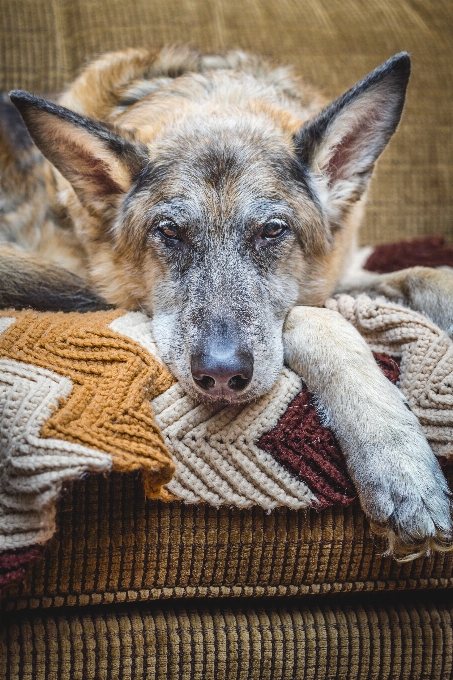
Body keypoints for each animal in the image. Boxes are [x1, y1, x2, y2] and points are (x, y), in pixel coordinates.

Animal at [2, 47, 452, 556]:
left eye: (273, 230)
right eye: (170, 232)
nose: (220, 375)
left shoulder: (347, 271)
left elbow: (425, 275)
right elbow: (317, 322)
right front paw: (397, 462)